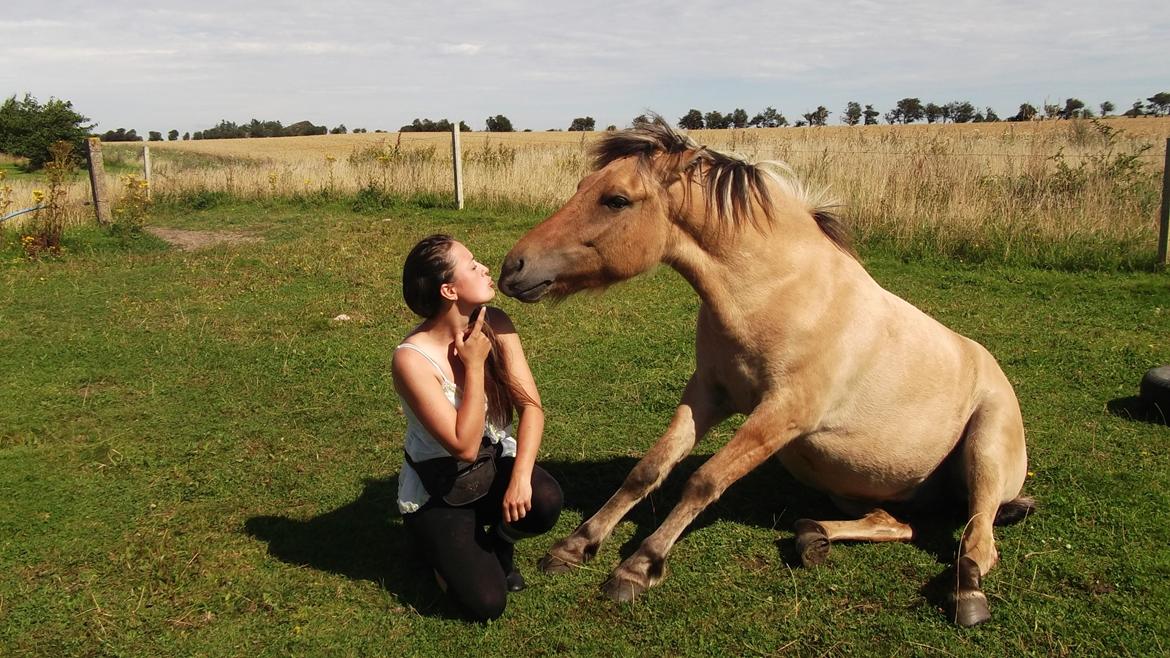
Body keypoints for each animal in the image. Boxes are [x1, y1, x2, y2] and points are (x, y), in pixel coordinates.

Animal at [498, 117, 1029, 622]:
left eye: (616, 200)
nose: (512, 268)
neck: (780, 292)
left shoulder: (781, 415)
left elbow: (704, 479)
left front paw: (640, 566)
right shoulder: (707, 394)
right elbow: (648, 469)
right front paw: (576, 544)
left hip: (982, 456)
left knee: (979, 542)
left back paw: (967, 592)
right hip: (848, 484)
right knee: (897, 522)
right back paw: (812, 537)